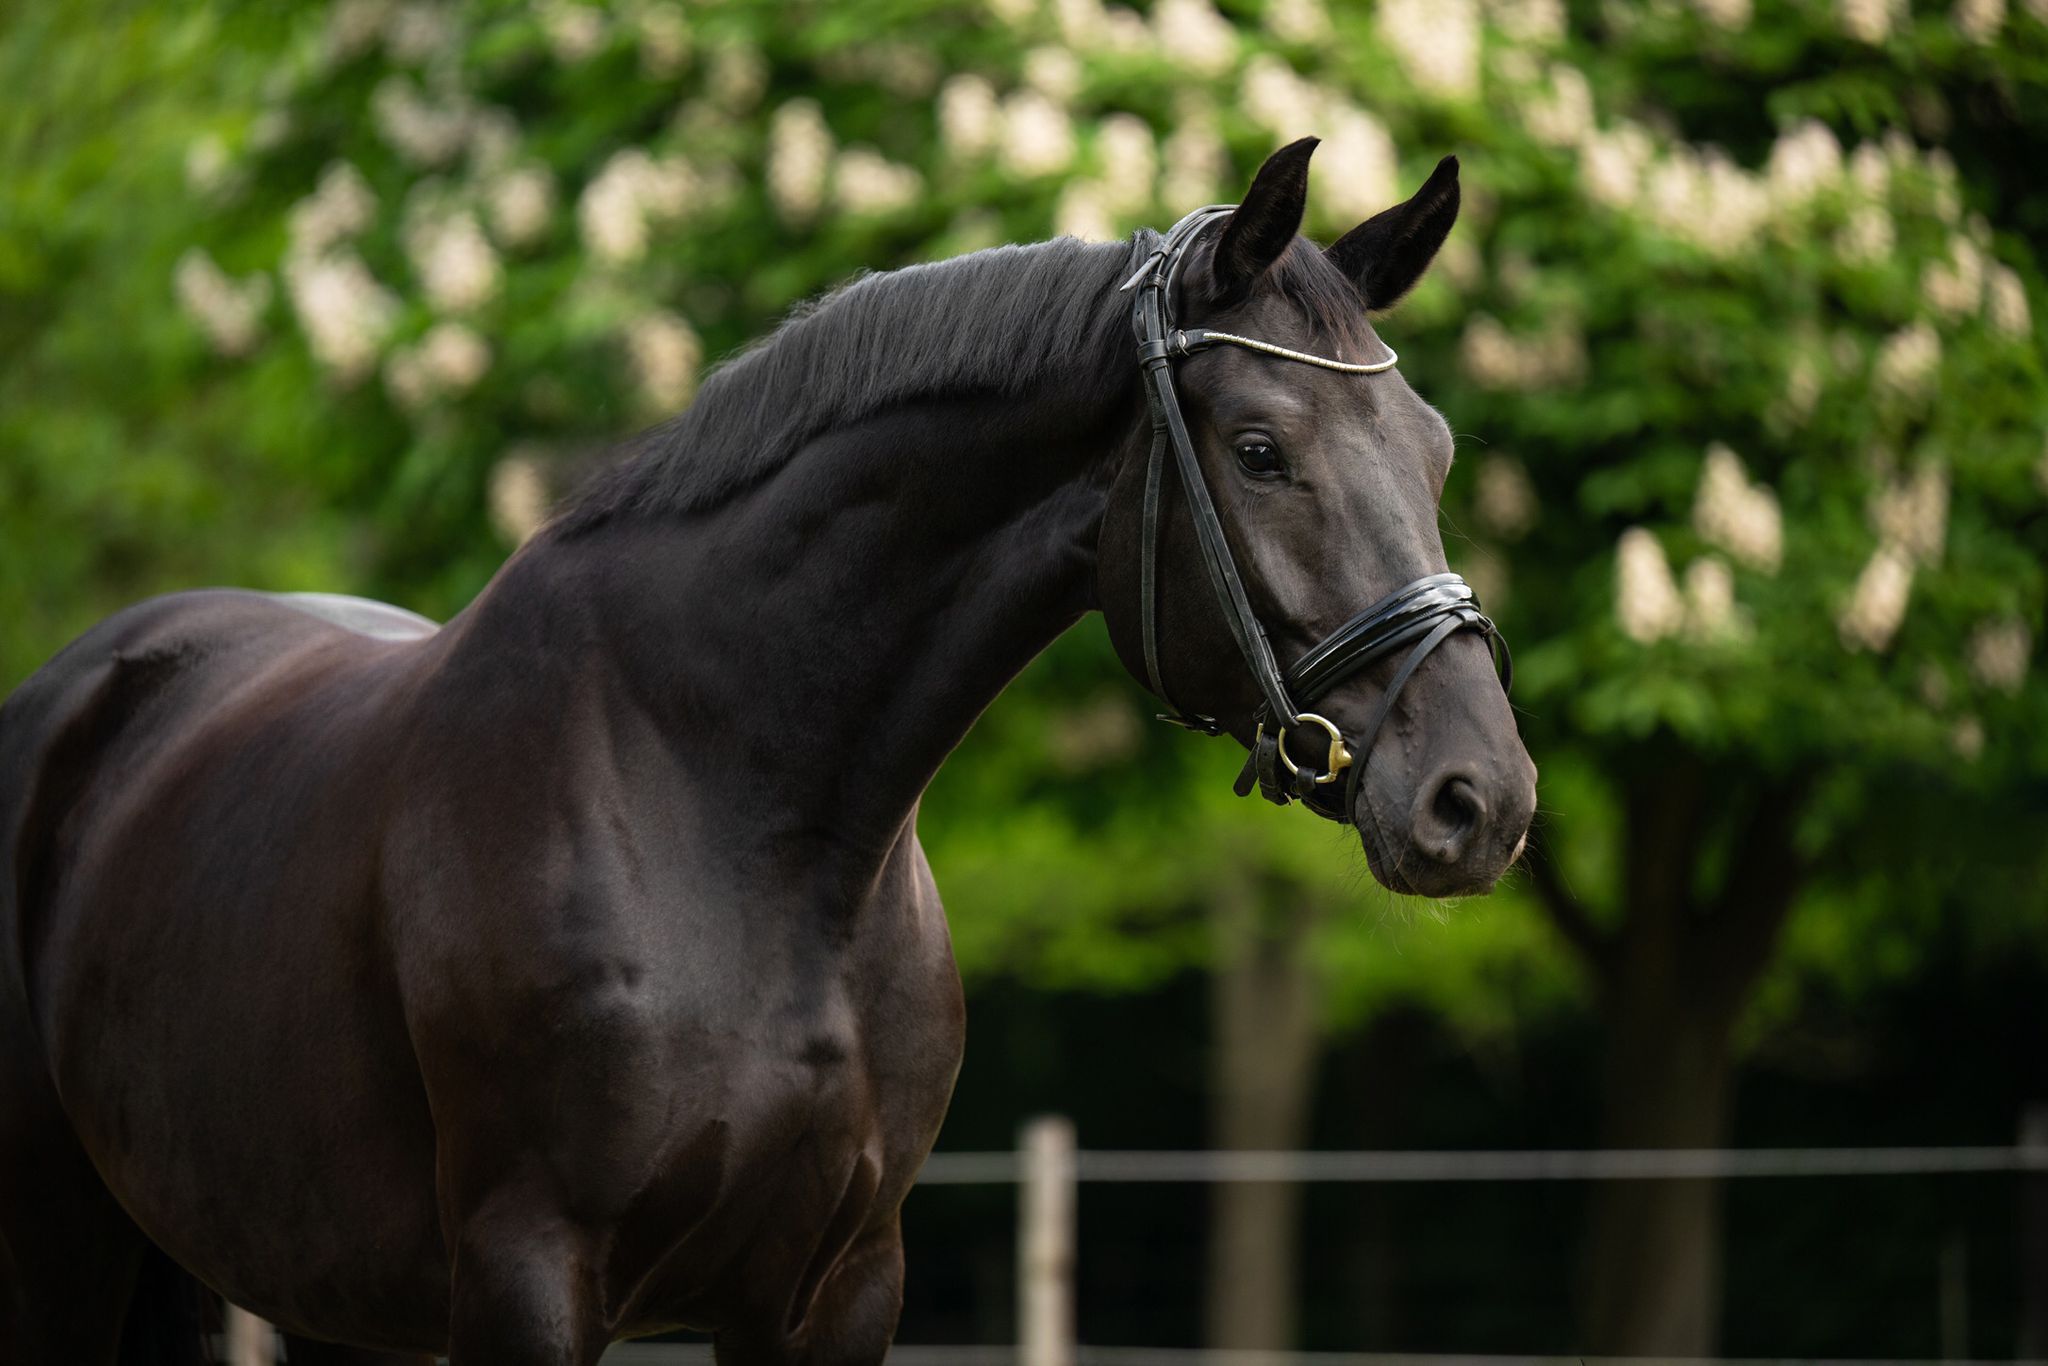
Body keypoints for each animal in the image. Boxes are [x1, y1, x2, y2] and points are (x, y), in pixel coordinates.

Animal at [0, 137, 1535, 1365]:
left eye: (1436, 450)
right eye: (1263, 448)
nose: (1479, 800)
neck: (731, 809)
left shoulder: (832, 1290)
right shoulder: (526, 1277)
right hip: (69, 1253)